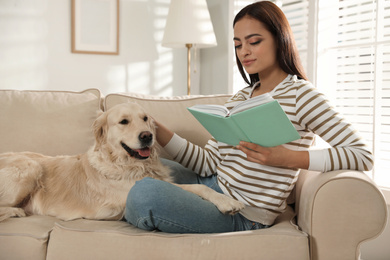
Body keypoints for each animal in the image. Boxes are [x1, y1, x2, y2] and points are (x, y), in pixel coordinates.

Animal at [0, 102, 244, 222]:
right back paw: (16, 212)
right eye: (124, 122)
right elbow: (196, 187)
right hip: (30, 168)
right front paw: (227, 202)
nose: (147, 136)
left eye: (145, 118)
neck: (128, 163)